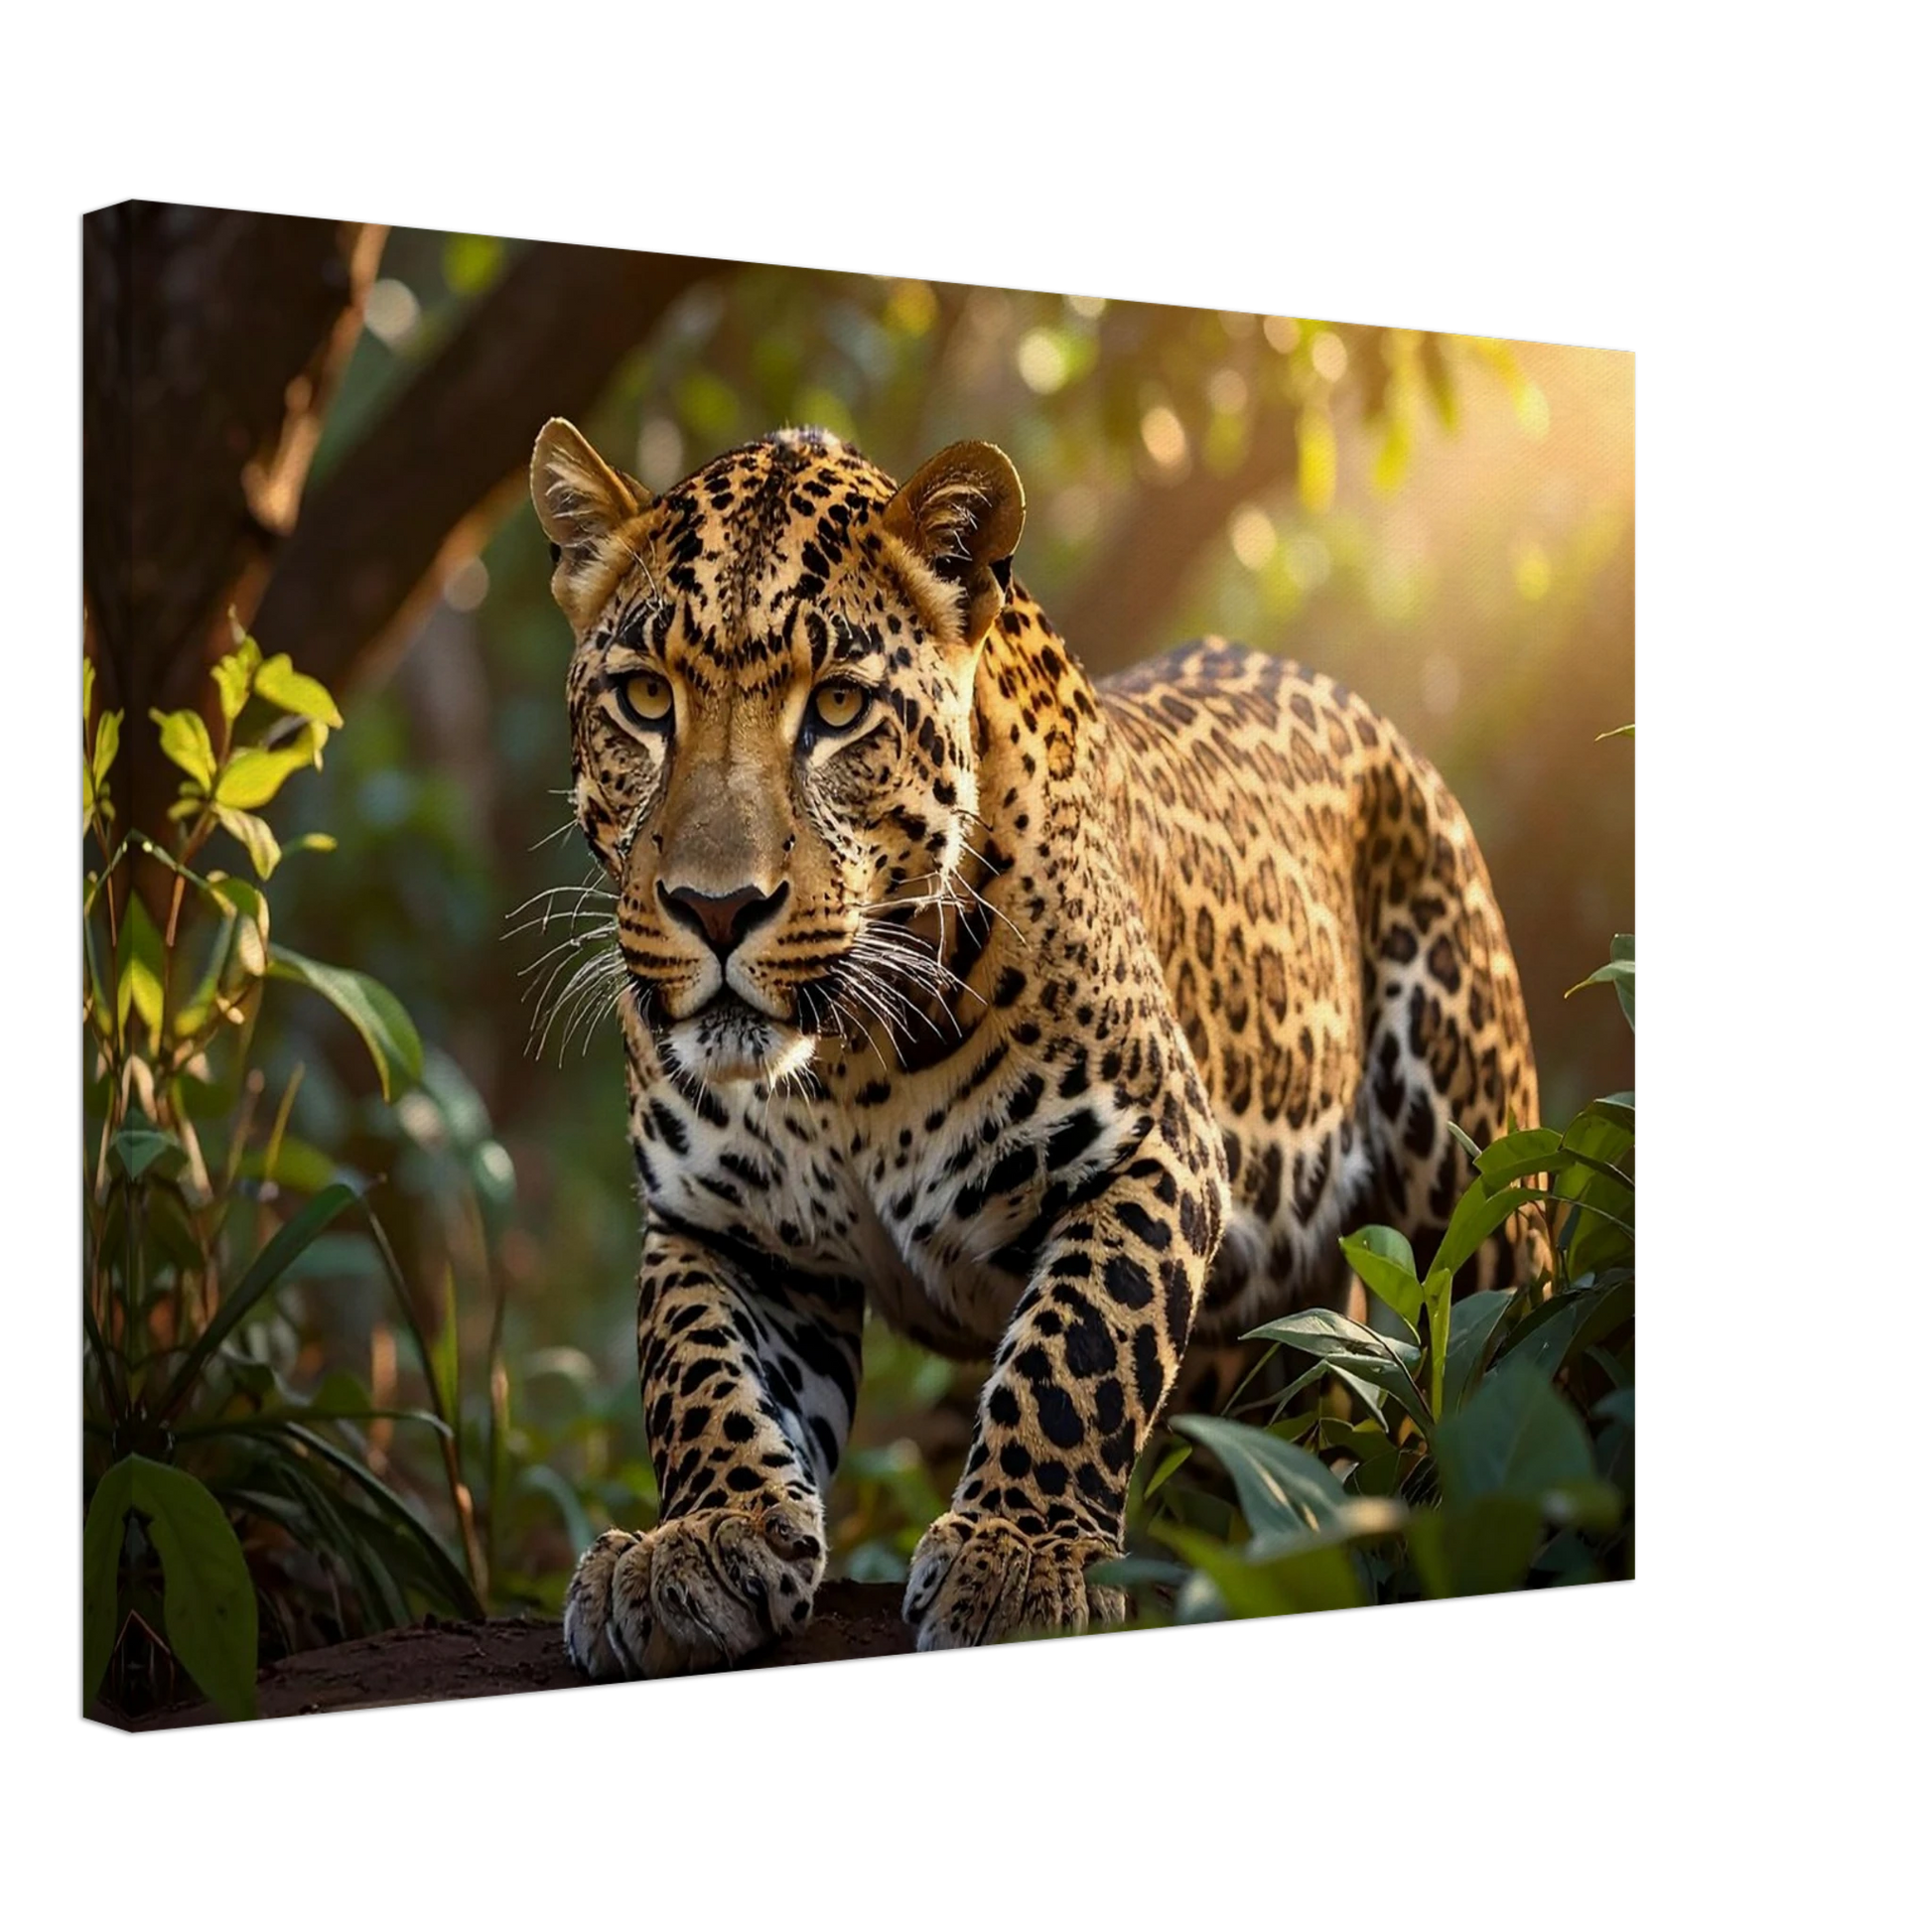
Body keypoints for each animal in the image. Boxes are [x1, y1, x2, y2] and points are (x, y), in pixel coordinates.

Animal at [528, 417, 1546, 1676]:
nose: (717, 909)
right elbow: (697, 1373)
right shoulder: (721, 1225)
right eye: (642, 696)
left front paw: (1017, 1559)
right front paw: (697, 1541)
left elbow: (1077, 1351)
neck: (843, 1068)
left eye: (837, 708)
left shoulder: (1151, 1148)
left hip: (1472, 1182)